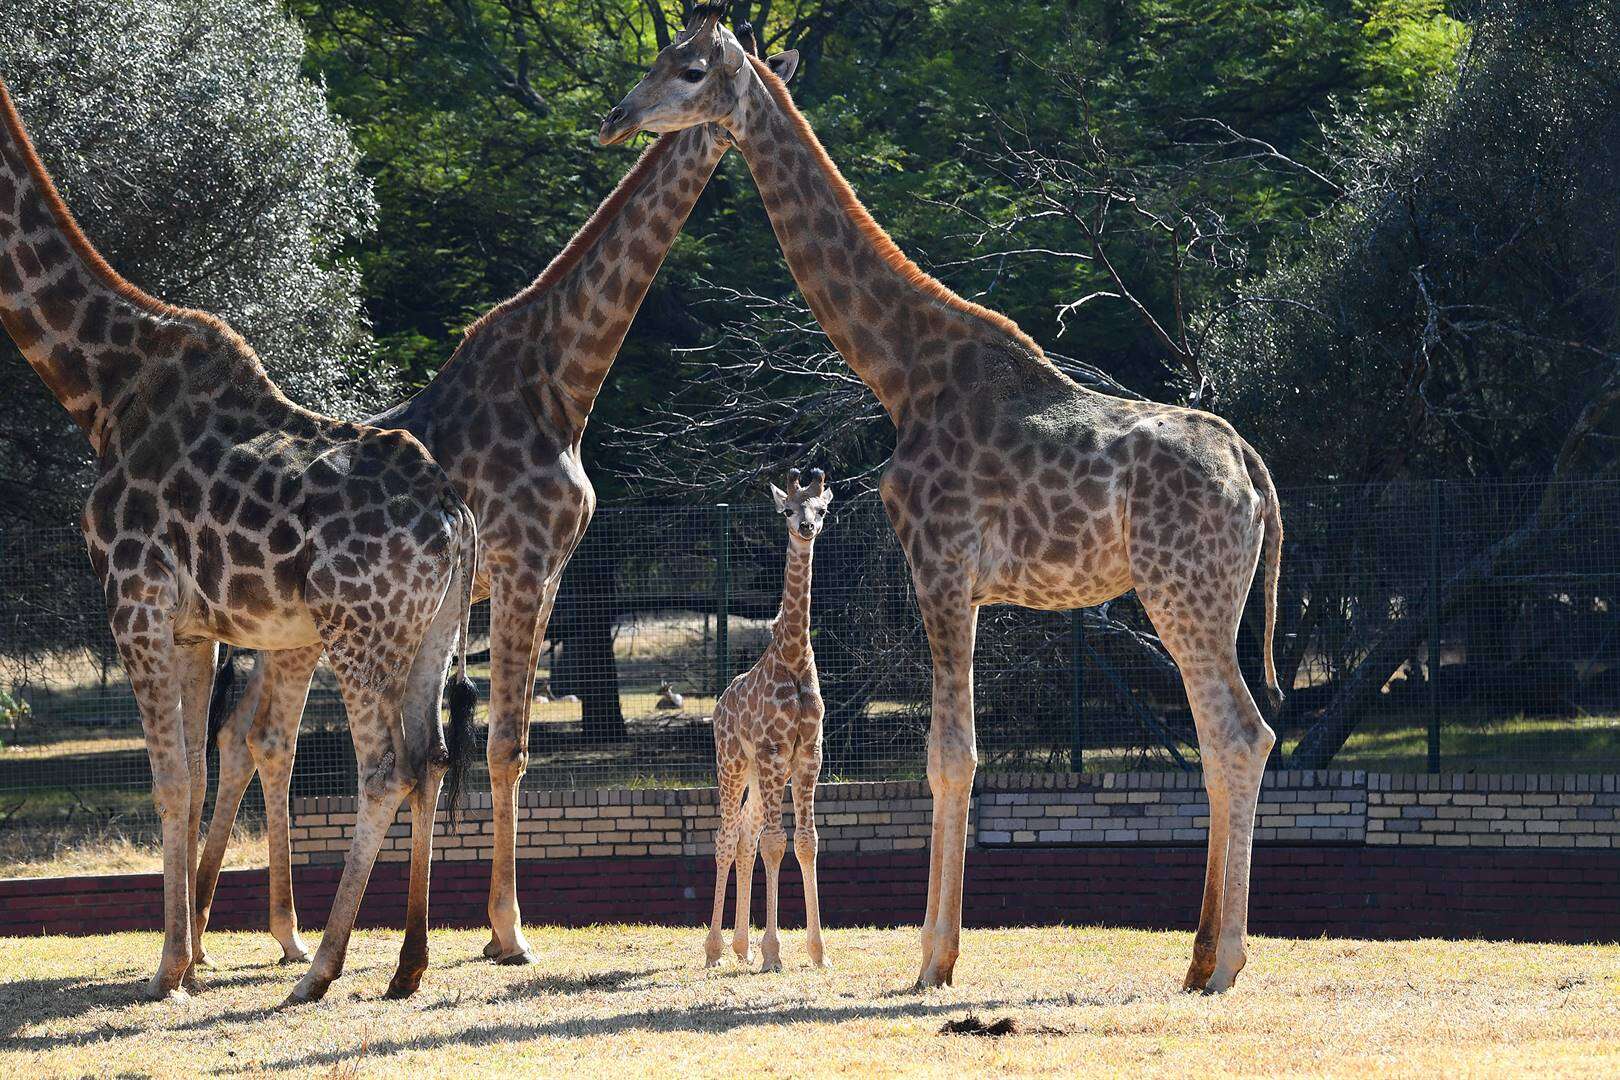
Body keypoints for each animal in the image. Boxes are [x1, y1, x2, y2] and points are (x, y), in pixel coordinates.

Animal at [0, 78, 476, 1003]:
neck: (102, 391)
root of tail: (452, 515)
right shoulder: (193, 626)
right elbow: (190, 775)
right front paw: (185, 955)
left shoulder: (135, 601)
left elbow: (169, 778)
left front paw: (167, 971)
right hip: (431, 632)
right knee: (432, 756)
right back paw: (407, 964)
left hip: (358, 632)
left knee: (385, 768)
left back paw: (320, 969)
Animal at [196, 33, 803, 965]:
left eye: (689, 67)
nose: (614, 118)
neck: (560, 380)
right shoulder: (522, 564)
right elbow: (506, 747)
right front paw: (508, 931)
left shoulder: (551, 574)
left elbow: (492, 747)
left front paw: (478, 929)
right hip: (303, 632)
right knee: (266, 738)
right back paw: (274, 935)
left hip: (277, 630)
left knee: (241, 736)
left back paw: (232, 935)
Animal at [706, 466, 835, 971]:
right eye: (787, 509)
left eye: (821, 508)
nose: (807, 528)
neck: (794, 657)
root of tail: (719, 705)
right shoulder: (773, 751)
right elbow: (777, 843)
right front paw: (774, 953)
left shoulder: (808, 754)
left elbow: (806, 841)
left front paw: (819, 953)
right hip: (734, 762)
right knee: (725, 836)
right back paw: (714, 950)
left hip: (760, 775)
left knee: (745, 834)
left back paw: (740, 946)